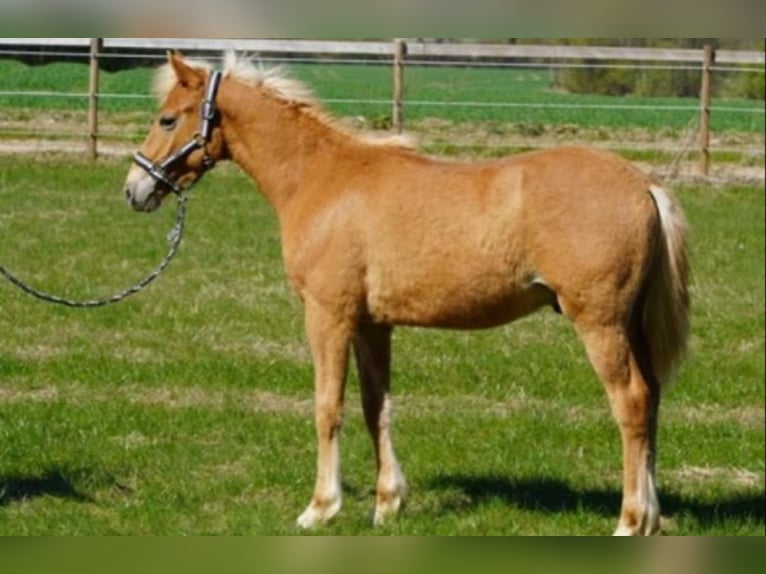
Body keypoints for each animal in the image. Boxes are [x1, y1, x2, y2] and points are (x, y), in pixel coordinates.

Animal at [123, 52, 690, 536]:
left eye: (168, 119)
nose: (134, 188)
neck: (323, 180)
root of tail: (643, 184)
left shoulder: (328, 316)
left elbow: (328, 406)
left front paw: (320, 508)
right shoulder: (374, 324)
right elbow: (377, 406)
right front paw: (386, 503)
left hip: (600, 324)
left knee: (632, 403)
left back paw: (629, 519)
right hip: (632, 326)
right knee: (653, 400)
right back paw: (652, 518)